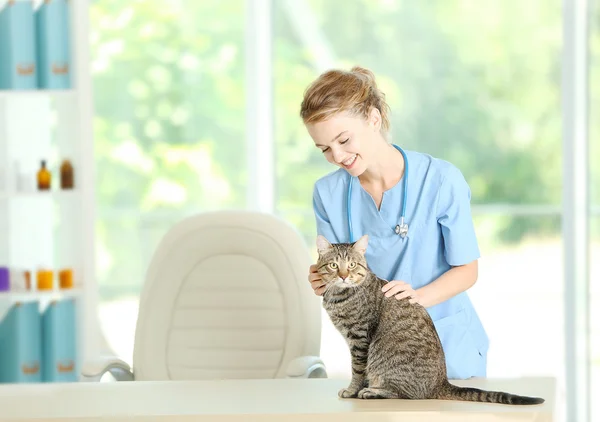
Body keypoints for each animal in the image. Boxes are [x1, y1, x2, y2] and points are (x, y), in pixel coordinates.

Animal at [316, 236, 548, 404]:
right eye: (334, 265)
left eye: (352, 265)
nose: (343, 275)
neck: (338, 296)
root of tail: (441, 382)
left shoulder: (359, 338)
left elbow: (357, 370)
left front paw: (352, 390)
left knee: (408, 394)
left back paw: (374, 392)